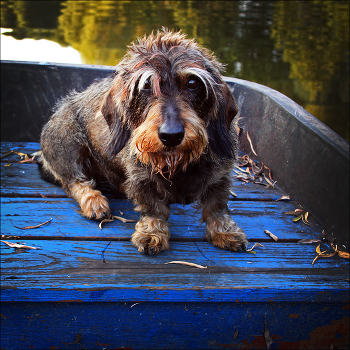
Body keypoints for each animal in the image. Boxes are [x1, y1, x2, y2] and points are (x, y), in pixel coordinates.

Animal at [40, 28, 249, 253]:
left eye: (193, 83)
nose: (171, 135)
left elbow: (217, 207)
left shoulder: (220, 176)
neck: (176, 164)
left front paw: (224, 231)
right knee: (74, 182)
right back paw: (94, 202)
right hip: (66, 141)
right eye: (146, 84)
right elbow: (153, 208)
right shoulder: (142, 179)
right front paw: (152, 233)